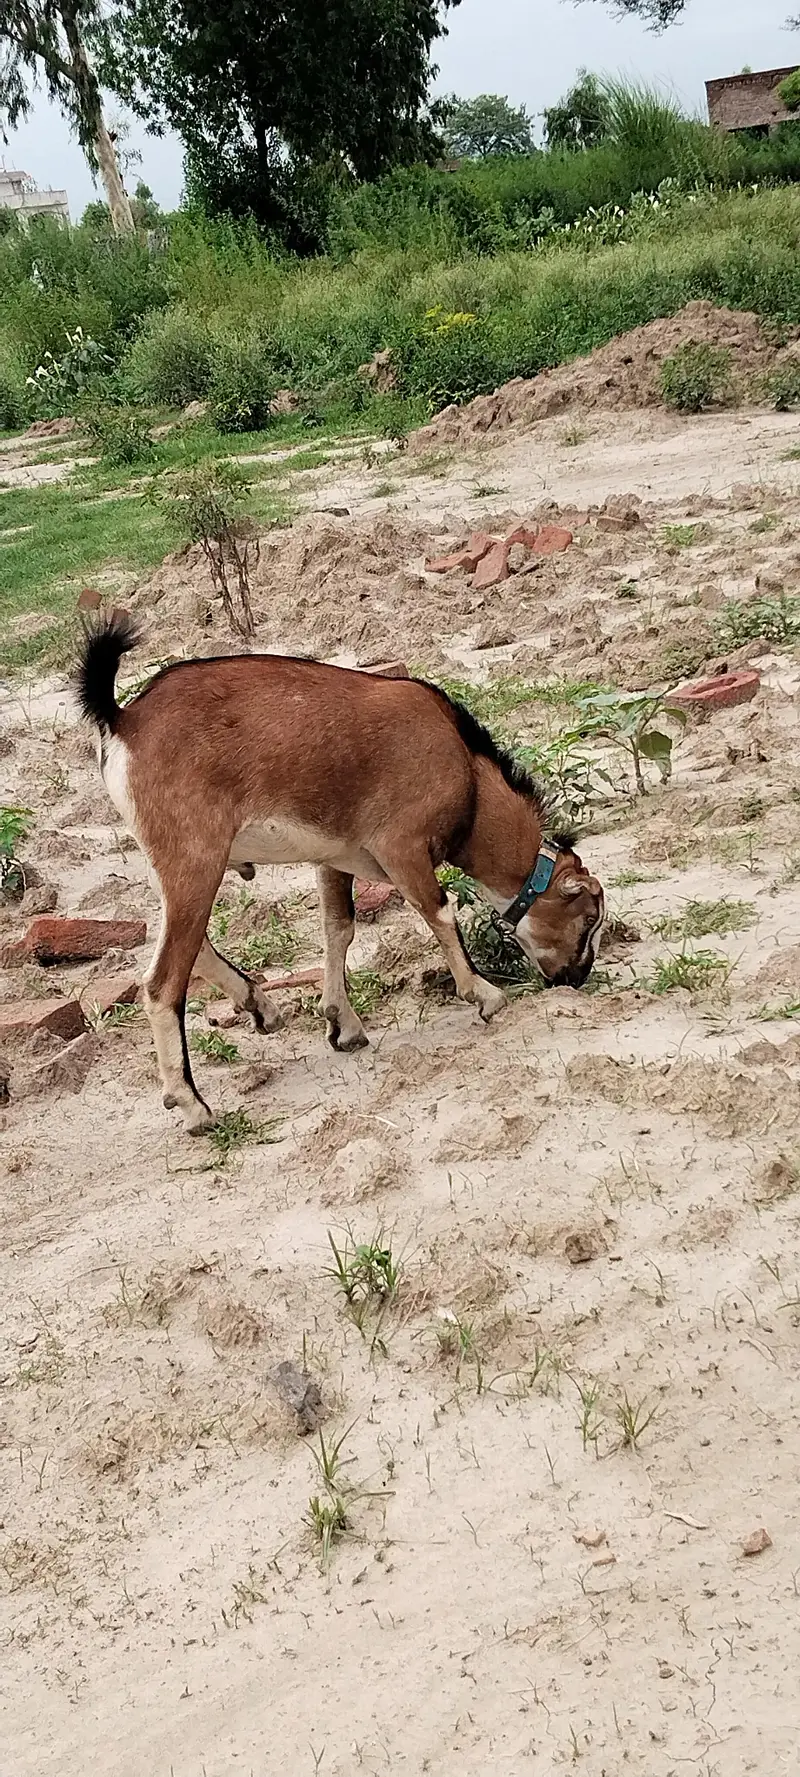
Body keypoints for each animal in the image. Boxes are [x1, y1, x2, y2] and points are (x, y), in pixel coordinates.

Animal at [76, 615, 605, 1132]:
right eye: (588, 918)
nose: (575, 977)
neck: (468, 775)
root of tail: (124, 720)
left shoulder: (334, 859)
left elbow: (339, 928)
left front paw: (343, 1025)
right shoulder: (401, 846)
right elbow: (439, 913)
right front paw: (486, 995)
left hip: (177, 867)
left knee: (195, 945)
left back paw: (262, 1009)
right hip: (195, 859)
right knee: (162, 982)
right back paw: (194, 1106)